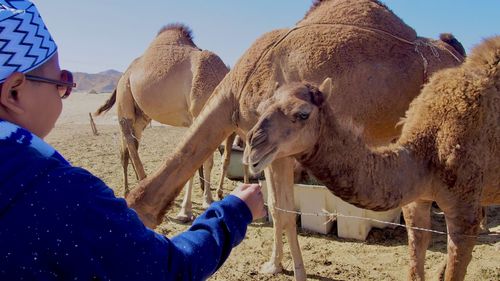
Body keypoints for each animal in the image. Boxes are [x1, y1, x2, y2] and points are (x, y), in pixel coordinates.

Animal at [94, 23, 229, 221]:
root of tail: (124, 74)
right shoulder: (198, 114)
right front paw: (186, 211)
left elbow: (207, 161)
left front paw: (207, 200)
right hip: (125, 99)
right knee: (130, 146)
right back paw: (141, 191)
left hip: (141, 116)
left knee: (129, 147)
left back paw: (131, 189)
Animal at [124, 1, 464, 278]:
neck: (234, 91)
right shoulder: (268, 150)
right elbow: (275, 208)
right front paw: (273, 265)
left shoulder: (279, 149)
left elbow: (285, 212)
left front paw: (296, 270)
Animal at [241, 35, 496, 280]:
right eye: (260, 108)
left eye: (303, 113)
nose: (253, 146)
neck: (428, 149)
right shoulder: (416, 202)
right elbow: (416, 265)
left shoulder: (464, 213)